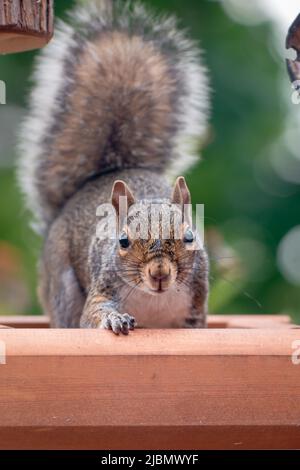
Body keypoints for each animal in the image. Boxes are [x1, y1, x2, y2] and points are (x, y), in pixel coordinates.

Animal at [17, 0, 210, 334]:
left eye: (189, 237)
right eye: (123, 240)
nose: (159, 274)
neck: (155, 300)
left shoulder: (196, 309)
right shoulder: (101, 289)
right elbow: (93, 315)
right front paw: (115, 319)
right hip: (61, 282)